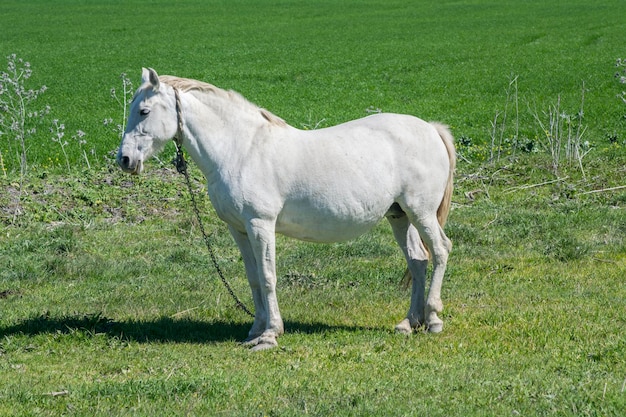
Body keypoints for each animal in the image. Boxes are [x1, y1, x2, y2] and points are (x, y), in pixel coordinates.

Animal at [117, 69, 456, 352]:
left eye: (144, 111)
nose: (124, 159)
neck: (240, 150)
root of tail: (431, 129)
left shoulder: (260, 224)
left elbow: (268, 276)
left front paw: (270, 335)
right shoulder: (239, 229)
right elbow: (253, 278)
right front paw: (255, 331)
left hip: (421, 213)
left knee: (440, 250)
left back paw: (433, 320)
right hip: (400, 216)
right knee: (417, 260)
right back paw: (408, 323)